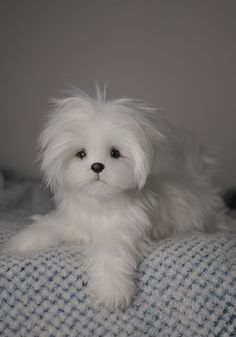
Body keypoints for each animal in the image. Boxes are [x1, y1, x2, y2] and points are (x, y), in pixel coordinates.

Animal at [6, 87, 229, 308]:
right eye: (81, 154)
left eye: (115, 153)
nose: (97, 166)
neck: (99, 203)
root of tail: (195, 182)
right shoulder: (71, 220)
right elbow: (48, 224)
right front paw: (22, 242)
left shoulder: (121, 232)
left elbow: (110, 256)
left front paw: (112, 290)